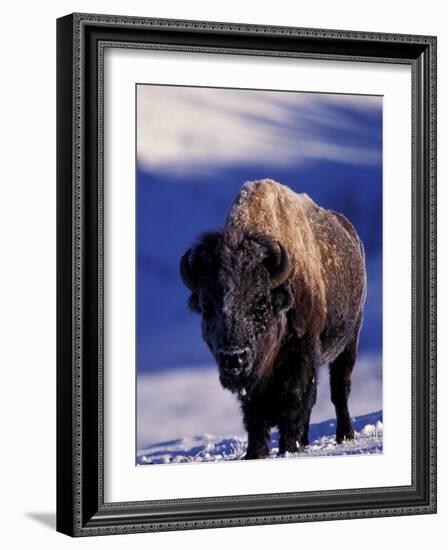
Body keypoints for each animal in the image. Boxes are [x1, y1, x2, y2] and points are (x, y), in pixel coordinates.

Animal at [180, 179, 366, 460]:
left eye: (260, 305)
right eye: (206, 308)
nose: (233, 358)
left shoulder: (301, 354)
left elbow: (294, 400)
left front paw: (288, 447)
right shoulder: (254, 381)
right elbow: (255, 414)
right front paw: (255, 453)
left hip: (349, 340)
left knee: (339, 389)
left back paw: (344, 435)